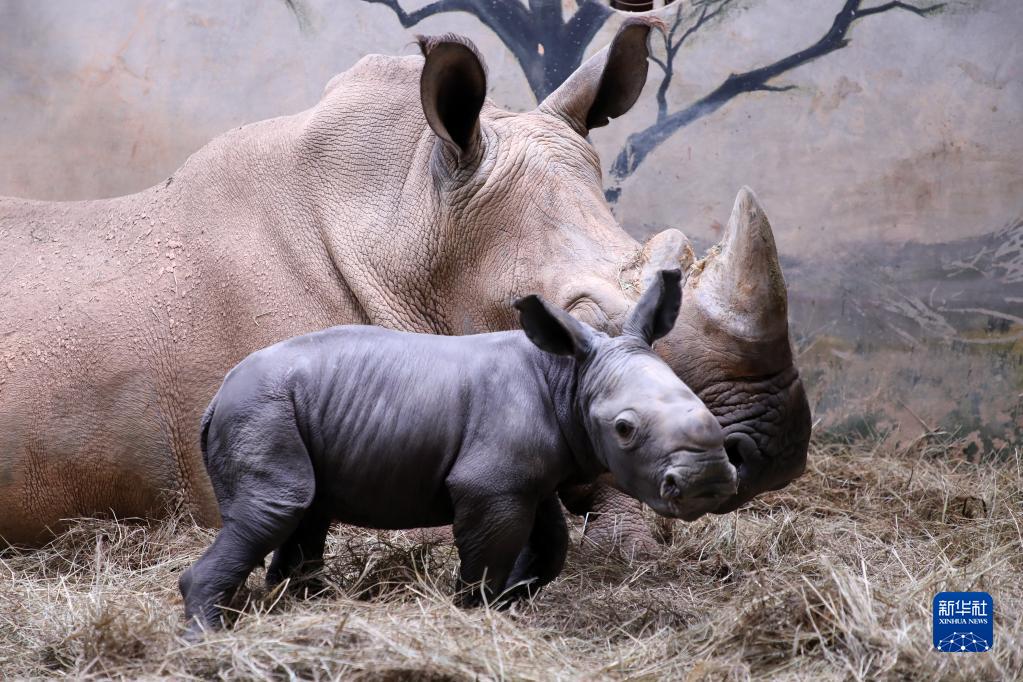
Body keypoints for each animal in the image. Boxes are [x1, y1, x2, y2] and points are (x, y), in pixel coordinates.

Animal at [180, 269, 732, 633]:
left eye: (702, 402)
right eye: (624, 429)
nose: (707, 480)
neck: (569, 378)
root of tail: (215, 398)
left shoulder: (526, 481)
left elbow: (551, 545)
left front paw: (513, 600)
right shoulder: (490, 485)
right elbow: (489, 557)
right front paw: (475, 611)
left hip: (276, 406)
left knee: (306, 511)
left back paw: (305, 608)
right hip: (259, 408)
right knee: (279, 505)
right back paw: (209, 638)